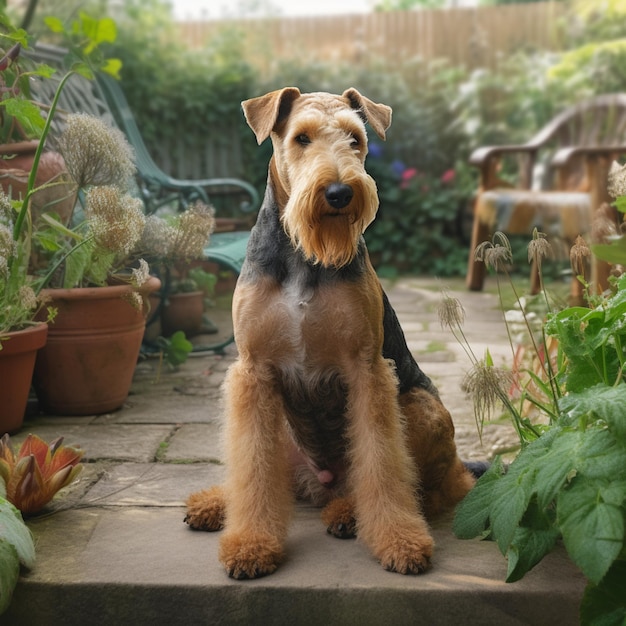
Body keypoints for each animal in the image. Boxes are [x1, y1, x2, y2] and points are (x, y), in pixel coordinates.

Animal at [184, 86, 472, 576]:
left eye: (356, 139)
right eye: (301, 137)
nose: (340, 192)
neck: (306, 255)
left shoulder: (367, 369)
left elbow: (382, 464)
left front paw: (400, 541)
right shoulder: (254, 371)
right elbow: (253, 468)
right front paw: (250, 544)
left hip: (420, 408)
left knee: (424, 487)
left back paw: (350, 513)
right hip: (282, 425)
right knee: (274, 476)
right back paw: (213, 503)